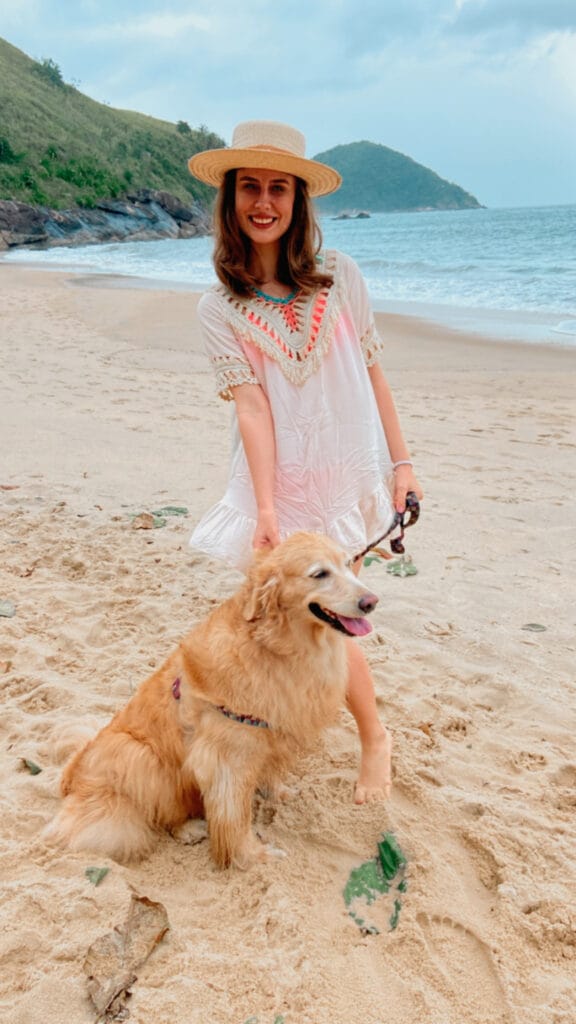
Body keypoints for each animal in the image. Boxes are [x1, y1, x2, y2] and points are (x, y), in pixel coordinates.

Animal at [44, 532, 377, 868]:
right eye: (319, 574)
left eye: (349, 563)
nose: (371, 602)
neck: (277, 646)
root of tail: (72, 775)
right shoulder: (226, 758)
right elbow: (235, 818)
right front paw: (252, 856)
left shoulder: (272, 730)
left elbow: (270, 773)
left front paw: (277, 792)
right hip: (138, 755)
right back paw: (188, 828)